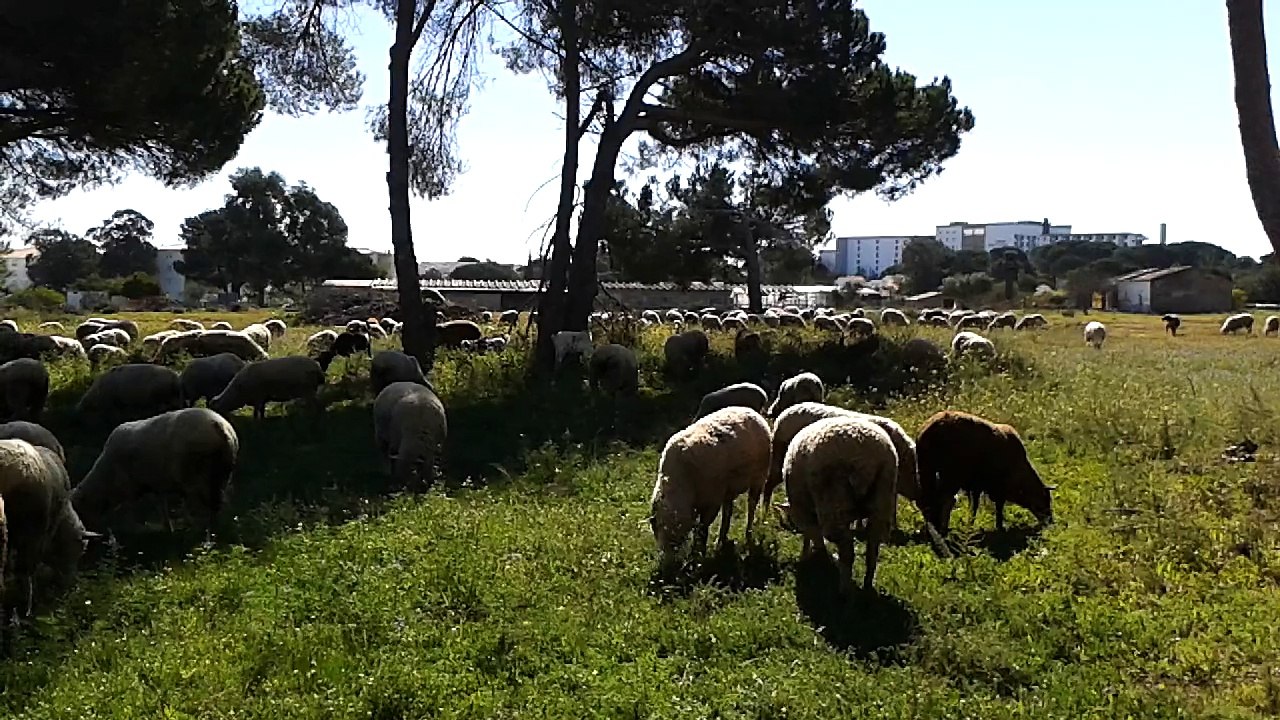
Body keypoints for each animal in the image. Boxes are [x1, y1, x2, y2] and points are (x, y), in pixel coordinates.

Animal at [71, 408, 239, 537]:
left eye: (78, 510)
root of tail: (219, 426)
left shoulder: (133, 486)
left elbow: (132, 510)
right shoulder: (158, 483)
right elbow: (164, 504)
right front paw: (169, 528)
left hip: (198, 476)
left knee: (210, 504)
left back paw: (205, 530)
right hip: (222, 473)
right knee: (221, 502)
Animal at [648, 407, 771, 563]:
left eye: (675, 540)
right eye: (657, 533)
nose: (668, 564)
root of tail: (751, 411)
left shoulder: (712, 501)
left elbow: (702, 529)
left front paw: (698, 554)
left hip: (759, 477)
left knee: (751, 506)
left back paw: (747, 533)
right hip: (728, 488)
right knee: (728, 511)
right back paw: (721, 540)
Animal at [780, 416, 897, 594]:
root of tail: (865, 458)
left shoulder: (804, 511)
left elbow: (815, 534)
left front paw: (818, 558)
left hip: (834, 501)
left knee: (846, 548)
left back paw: (844, 588)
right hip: (882, 496)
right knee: (873, 547)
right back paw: (867, 585)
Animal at [915, 410, 1053, 535]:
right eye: (1045, 500)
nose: (1051, 522)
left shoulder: (976, 486)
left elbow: (974, 506)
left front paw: (970, 525)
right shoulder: (996, 487)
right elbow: (997, 506)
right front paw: (999, 527)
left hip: (926, 469)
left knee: (929, 499)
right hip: (950, 474)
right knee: (944, 500)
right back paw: (942, 529)